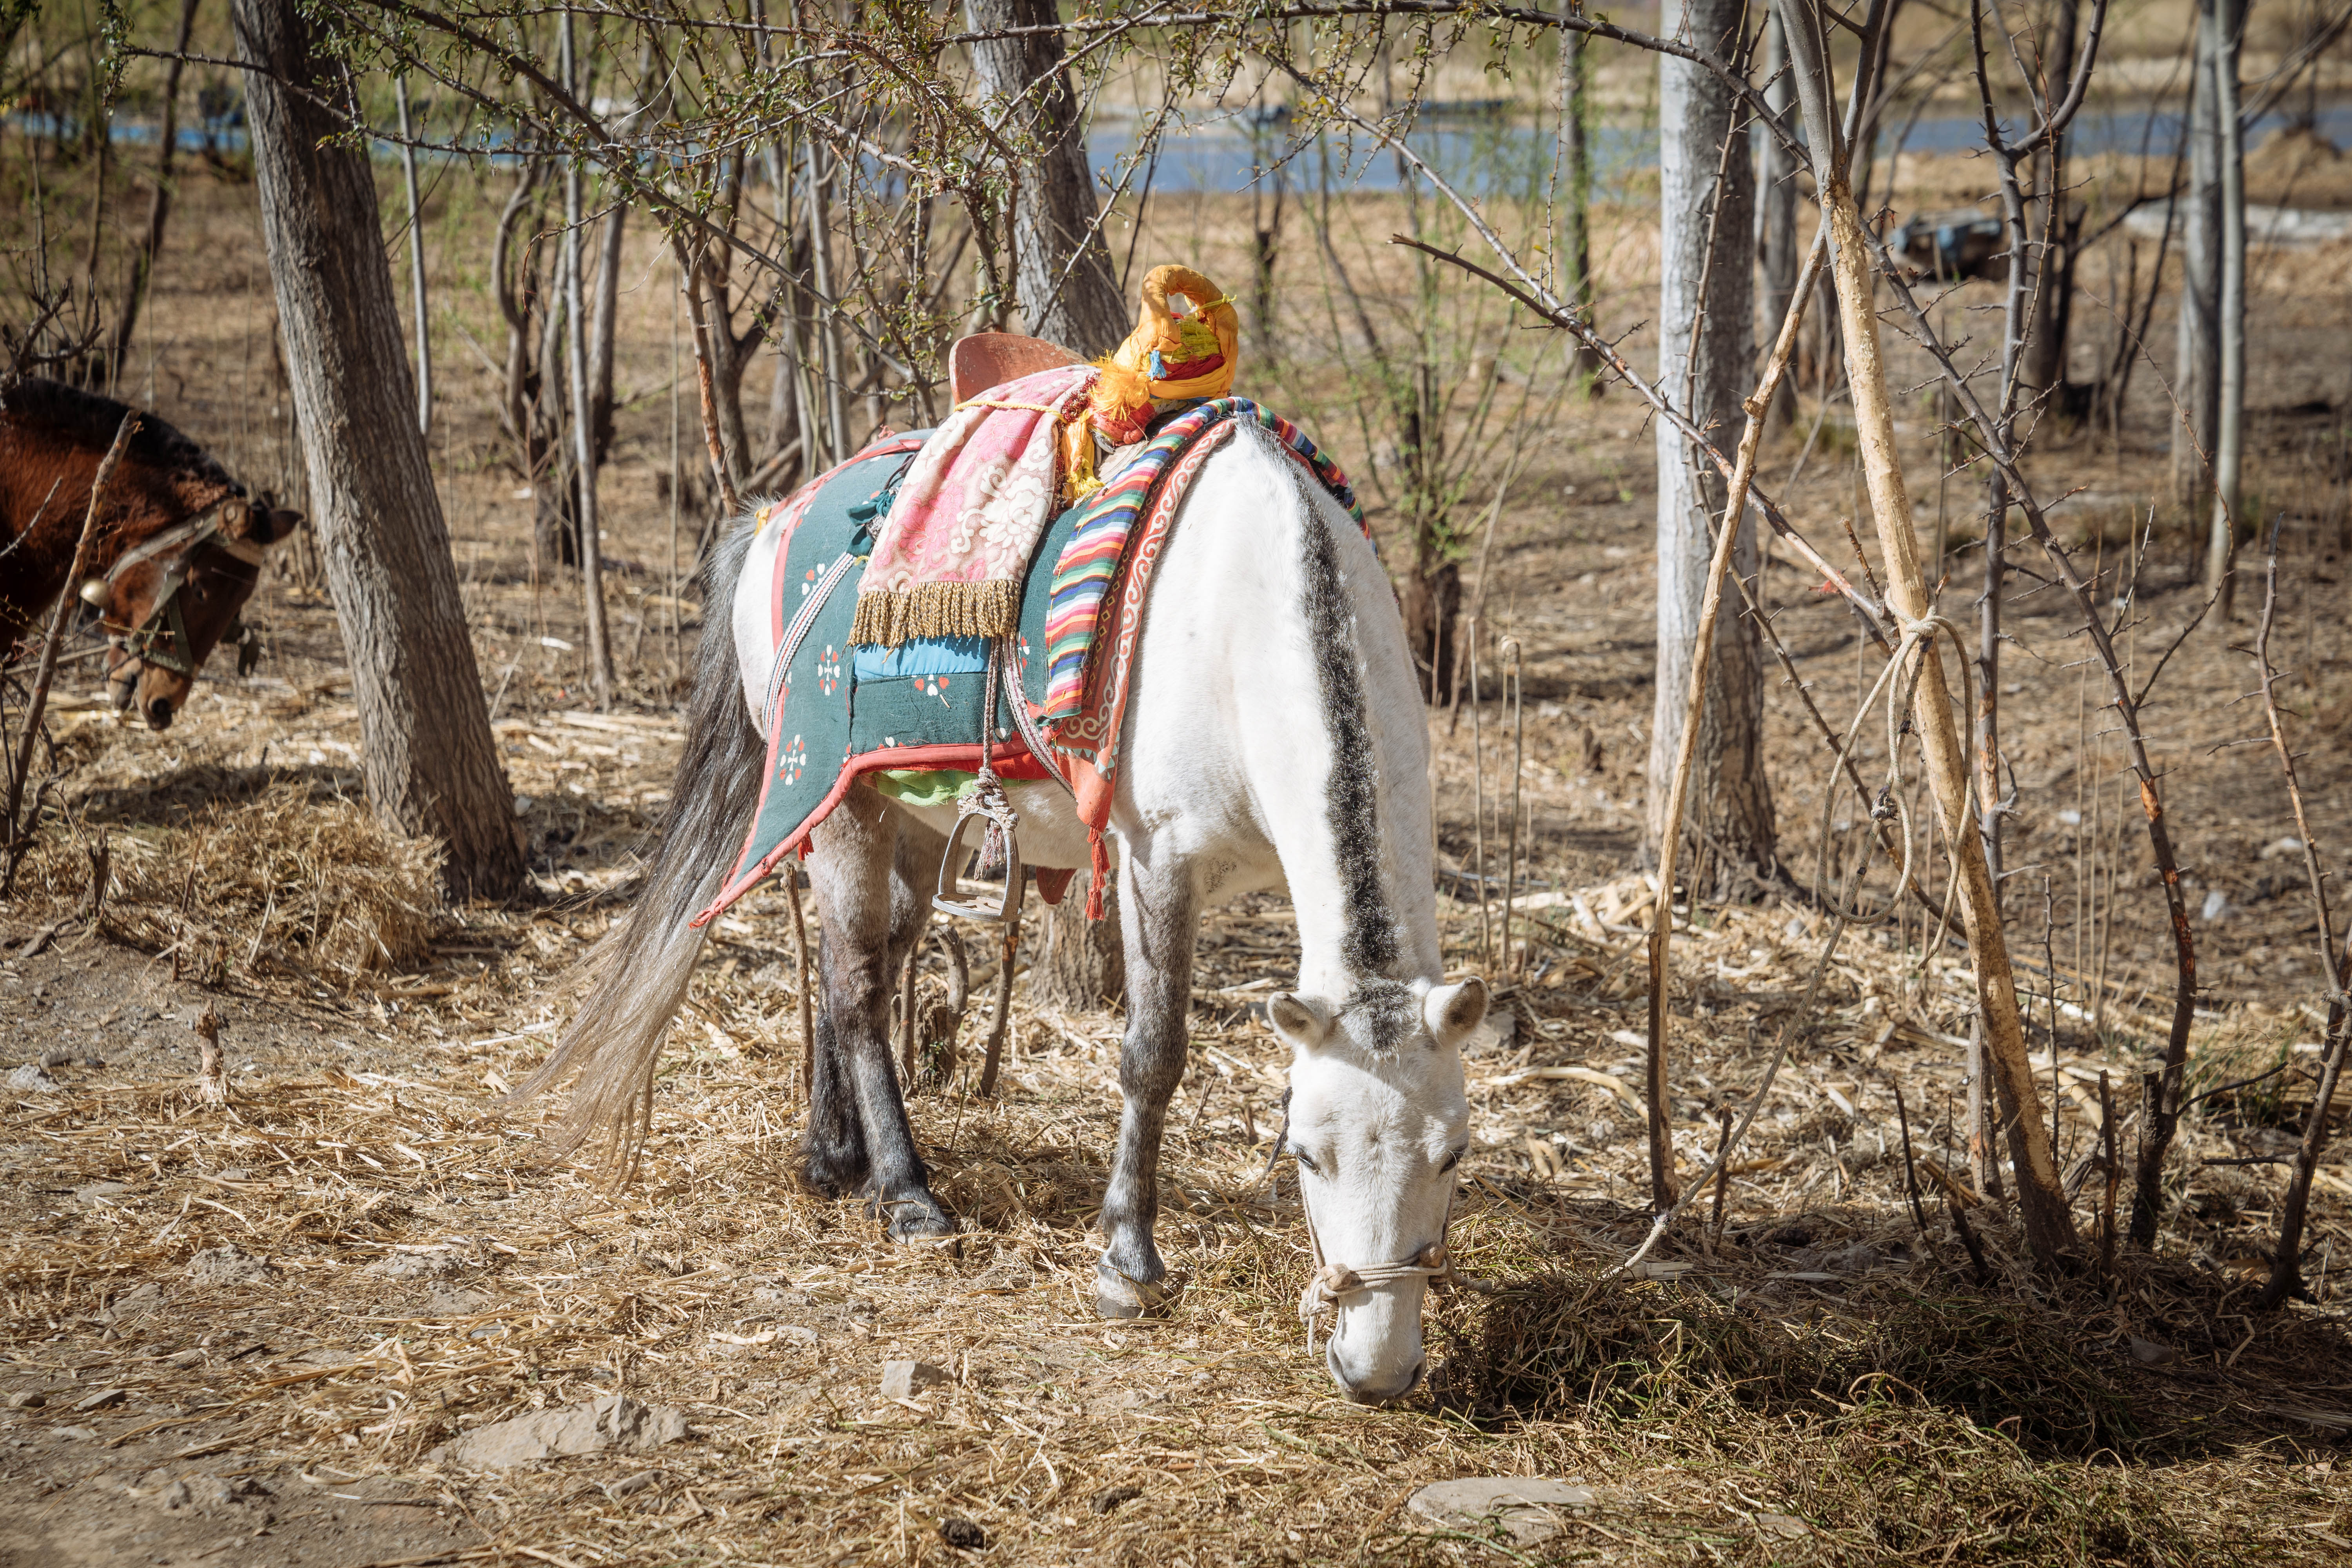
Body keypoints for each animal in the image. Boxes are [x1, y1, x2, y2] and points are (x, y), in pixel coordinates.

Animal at [522, 423, 1477, 1401]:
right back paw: (906, 1194)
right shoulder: (1158, 864)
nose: (1377, 1369)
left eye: (1453, 1155)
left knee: (852, 971)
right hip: (839, 812)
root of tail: (772, 518)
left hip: (908, 825)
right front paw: (1128, 1264)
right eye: (1308, 1154)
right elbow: (1154, 1056)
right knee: (858, 991)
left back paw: (834, 1160)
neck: (1249, 618)